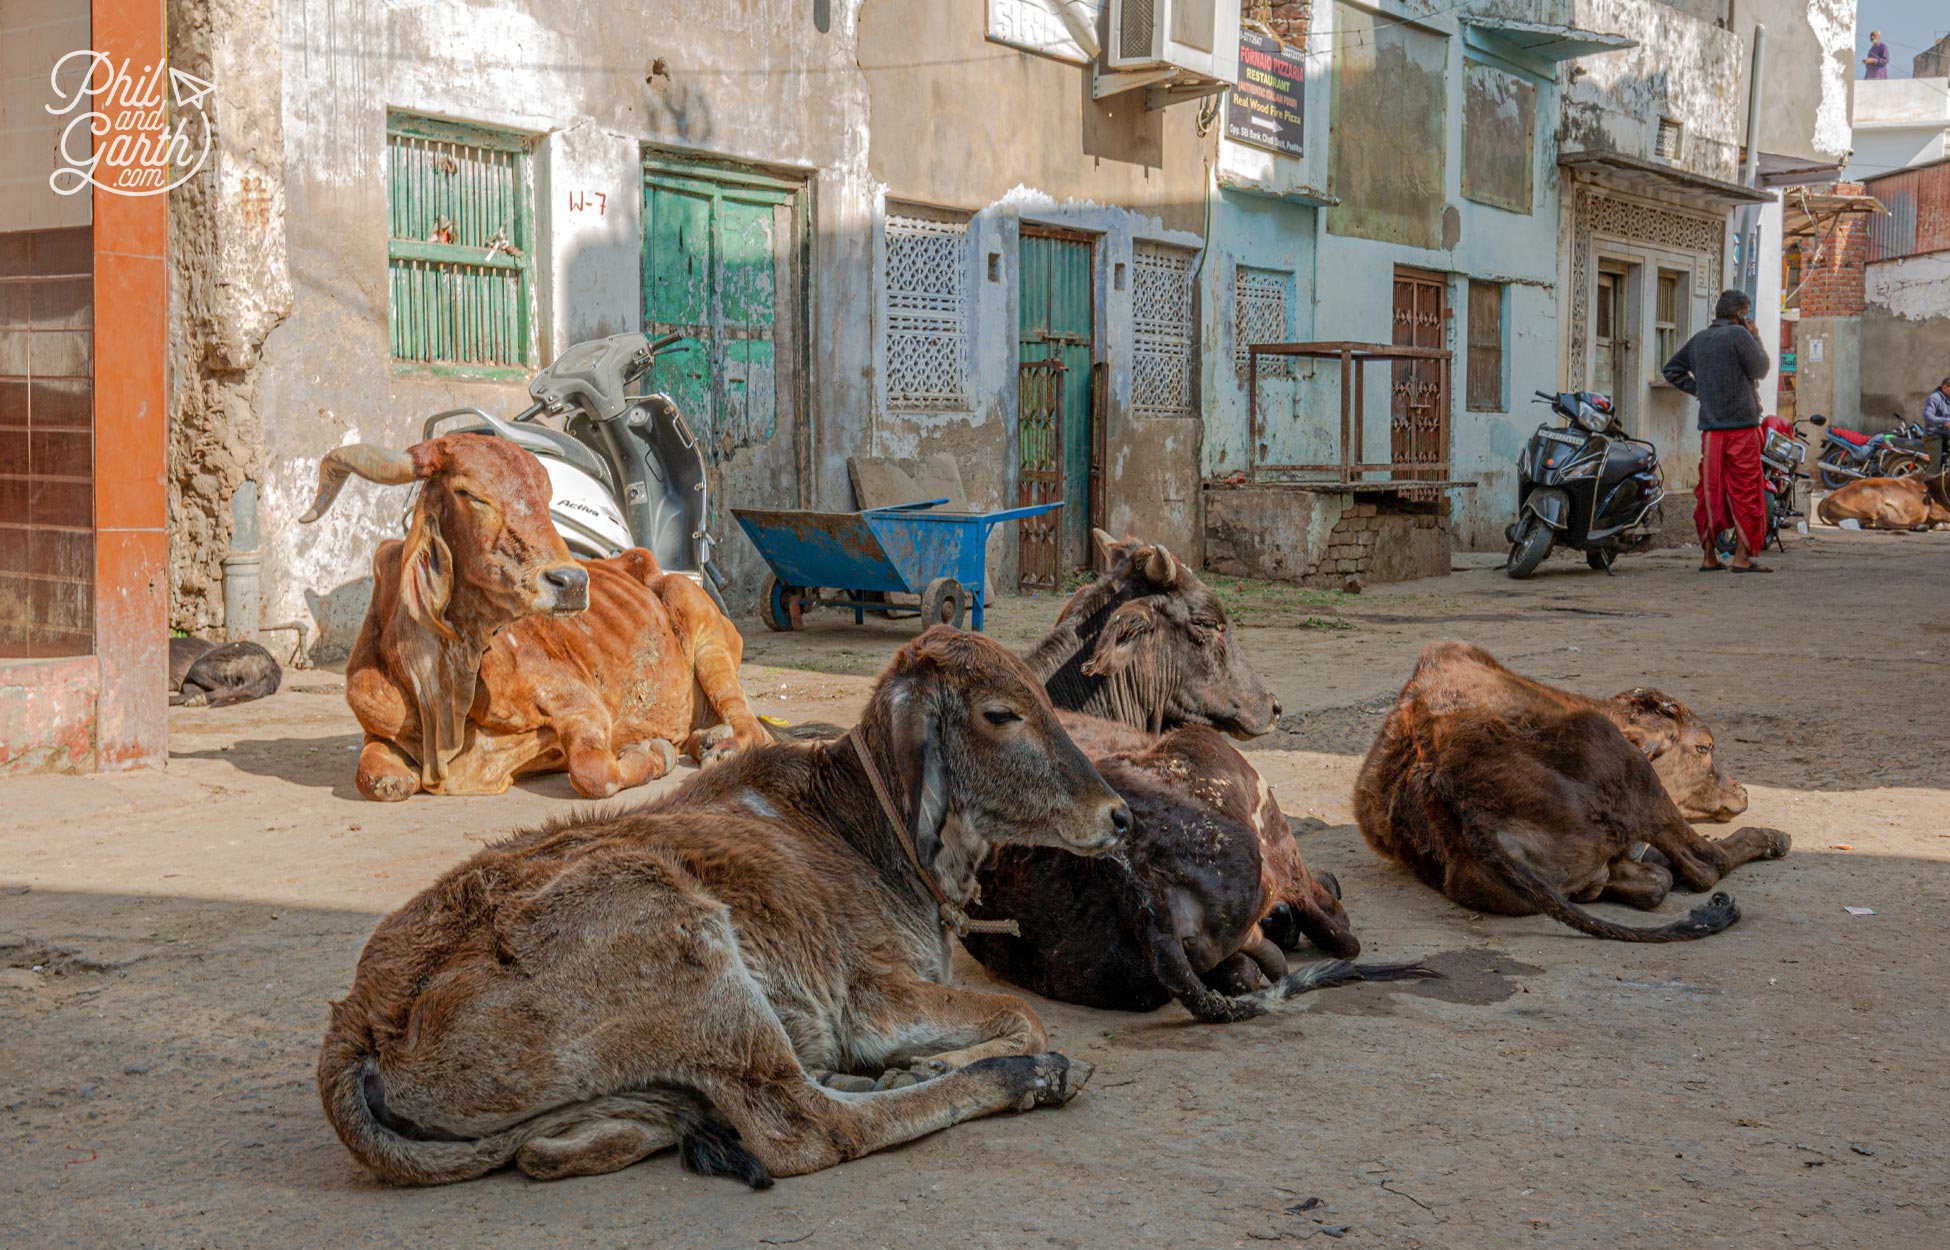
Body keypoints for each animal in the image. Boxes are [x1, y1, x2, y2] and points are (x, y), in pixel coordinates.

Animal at [300, 429, 764, 799]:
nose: (572, 582)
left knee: (751, 725)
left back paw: (719, 745)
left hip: (704, 631)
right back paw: (704, 738)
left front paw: (654, 751)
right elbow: (382, 781)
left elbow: (594, 772)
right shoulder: (377, 733)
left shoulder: (583, 707)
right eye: (469, 493)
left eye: (544, 497)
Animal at [317, 627, 1131, 1185]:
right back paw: (1024, 1079)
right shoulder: (872, 996)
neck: (861, 827)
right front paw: (958, 1061)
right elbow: (1022, 1015)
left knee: (571, 1146)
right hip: (683, 939)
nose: (1118, 815)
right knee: (807, 1128)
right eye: (1002, 713)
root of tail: (359, 1020)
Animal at [1349, 643, 1786, 936]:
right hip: (1626, 765)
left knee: (1647, 882)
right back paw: (1773, 839)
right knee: (1704, 865)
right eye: (1704, 747)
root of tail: (1454, 790)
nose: (1741, 791)